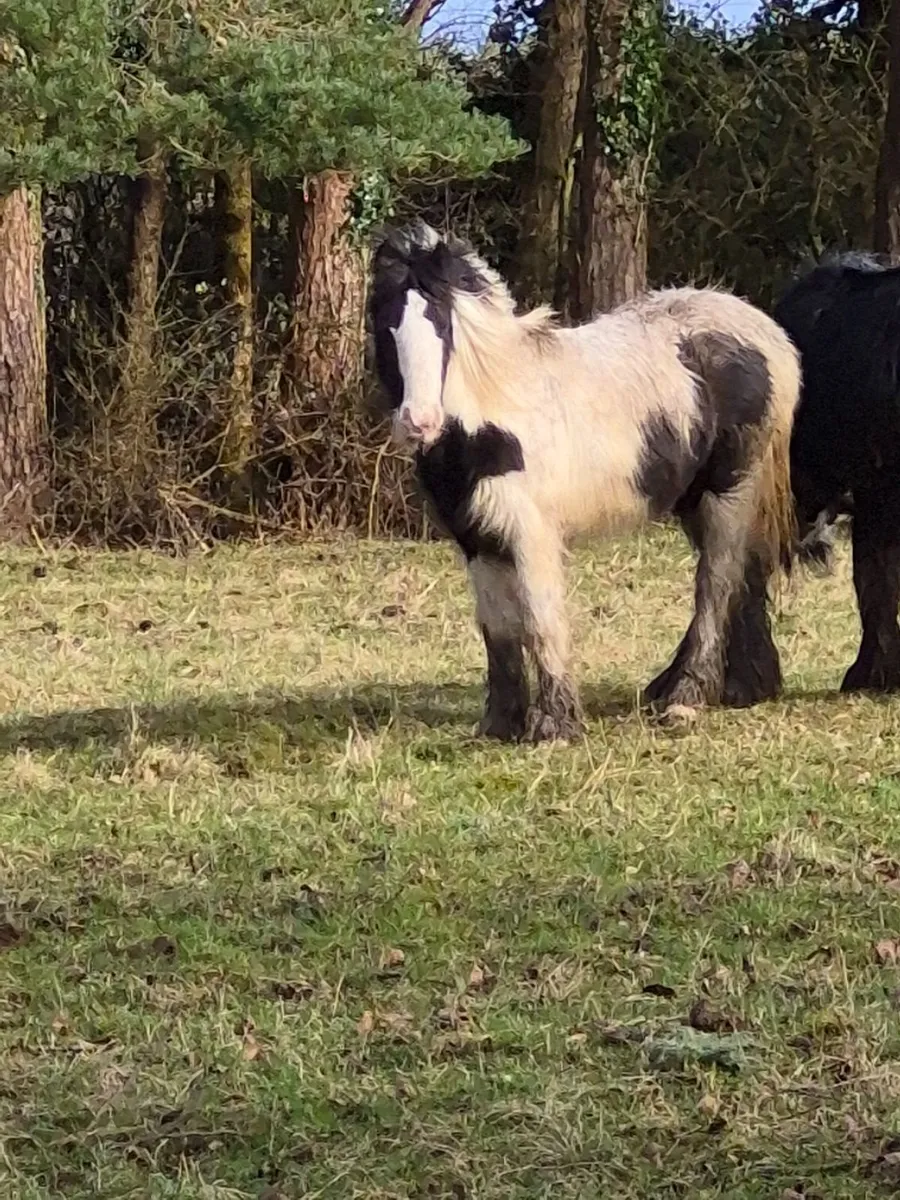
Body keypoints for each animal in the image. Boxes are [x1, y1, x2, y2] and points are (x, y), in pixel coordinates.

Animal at [370, 221, 800, 741]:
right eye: (386, 323)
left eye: (441, 322)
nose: (419, 422)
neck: (497, 409)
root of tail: (771, 338)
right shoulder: (478, 540)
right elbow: (498, 630)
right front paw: (501, 722)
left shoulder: (530, 534)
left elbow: (540, 619)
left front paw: (555, 725)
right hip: (696, 501)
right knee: (746, 581)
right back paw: (739, 687)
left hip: (729, 493)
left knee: (717, 587)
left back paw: (686, 697)